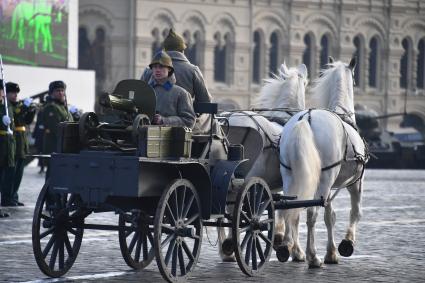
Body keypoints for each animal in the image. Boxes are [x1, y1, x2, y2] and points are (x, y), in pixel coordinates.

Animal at [219, 61, 308, 262]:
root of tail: (228, 118)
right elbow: (290, 213)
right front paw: (294, 248)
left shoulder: (272, 188)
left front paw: (279, 238)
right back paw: (230, 245)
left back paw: (225, 249)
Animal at [278, 57, 368, 268]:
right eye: (354, 80)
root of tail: (306, 118)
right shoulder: (355, 182)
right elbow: (355, 212)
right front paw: (345, 244)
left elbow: (330, 216)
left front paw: (331, 251)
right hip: (326, 178)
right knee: (311, 214)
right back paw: (312, 256)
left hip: (290, 175)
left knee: (289, 208)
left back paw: (287, 247)